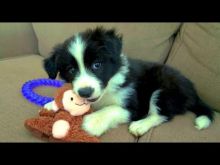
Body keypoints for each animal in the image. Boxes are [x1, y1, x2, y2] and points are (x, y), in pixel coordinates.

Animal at [43, 27, 214, 137]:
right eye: (71, 70)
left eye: (97, 65)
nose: (85, 92)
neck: (108, 88)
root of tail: (193, 92)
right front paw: (52, 104)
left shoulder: (135, 106)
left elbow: (112, 109)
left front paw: (92, 122)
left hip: (164, 88)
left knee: (163, 114)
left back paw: (140, 125)